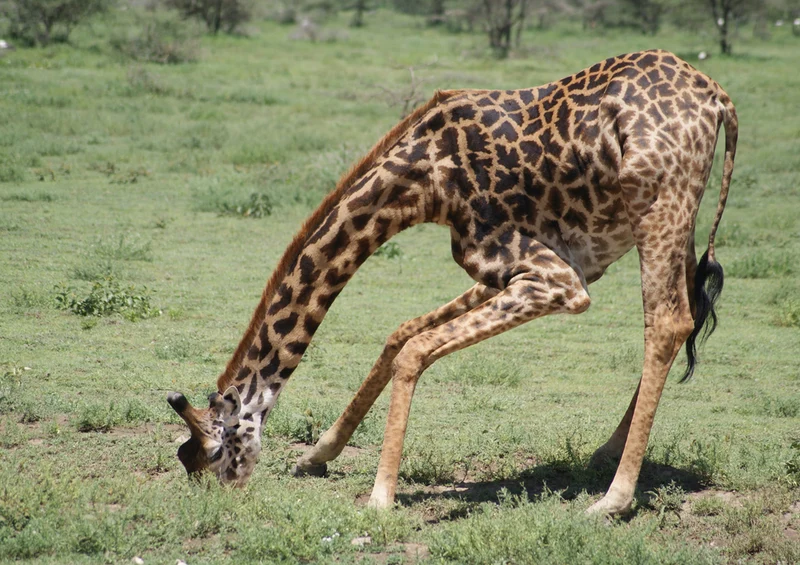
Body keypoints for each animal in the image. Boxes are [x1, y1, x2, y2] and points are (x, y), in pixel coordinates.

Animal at [167, 49, 737, 516]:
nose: (225, 497)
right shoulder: (517, 270)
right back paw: (606, 454)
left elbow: (414, 350)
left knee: (667, 322)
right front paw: (318, 455)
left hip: (658, 205)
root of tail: (718, 97)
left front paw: (379, 497)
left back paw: (612, 501)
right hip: (674, 219)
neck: (424, 183)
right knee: (683, 314)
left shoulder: (557, 281)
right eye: (189, 460)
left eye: (215, 451)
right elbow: (399, 333)